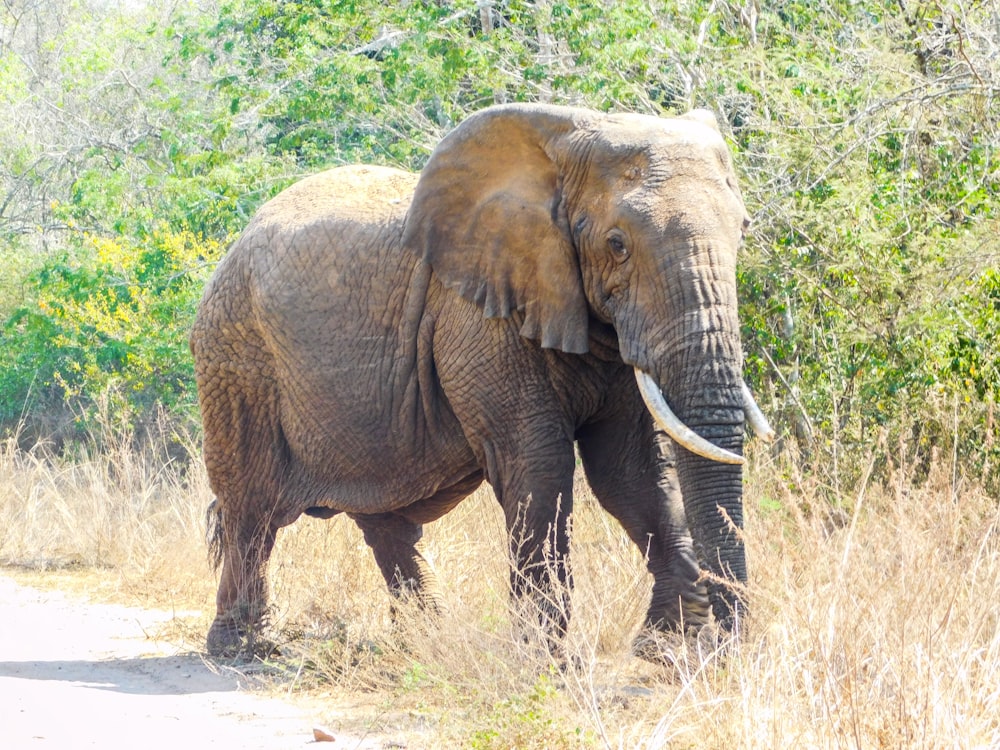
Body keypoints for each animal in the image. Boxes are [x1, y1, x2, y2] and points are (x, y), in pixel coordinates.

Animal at [189, 104, 772, 656]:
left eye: (742, 232)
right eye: (617, 244)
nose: (729, 649)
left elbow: (629, 471)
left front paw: (665, 648)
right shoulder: (481, 317)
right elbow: (538, 465)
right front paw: (546, 664)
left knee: (383, 519)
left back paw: (425, 643)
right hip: (236, 357)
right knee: (252, 507)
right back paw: (242, 646)